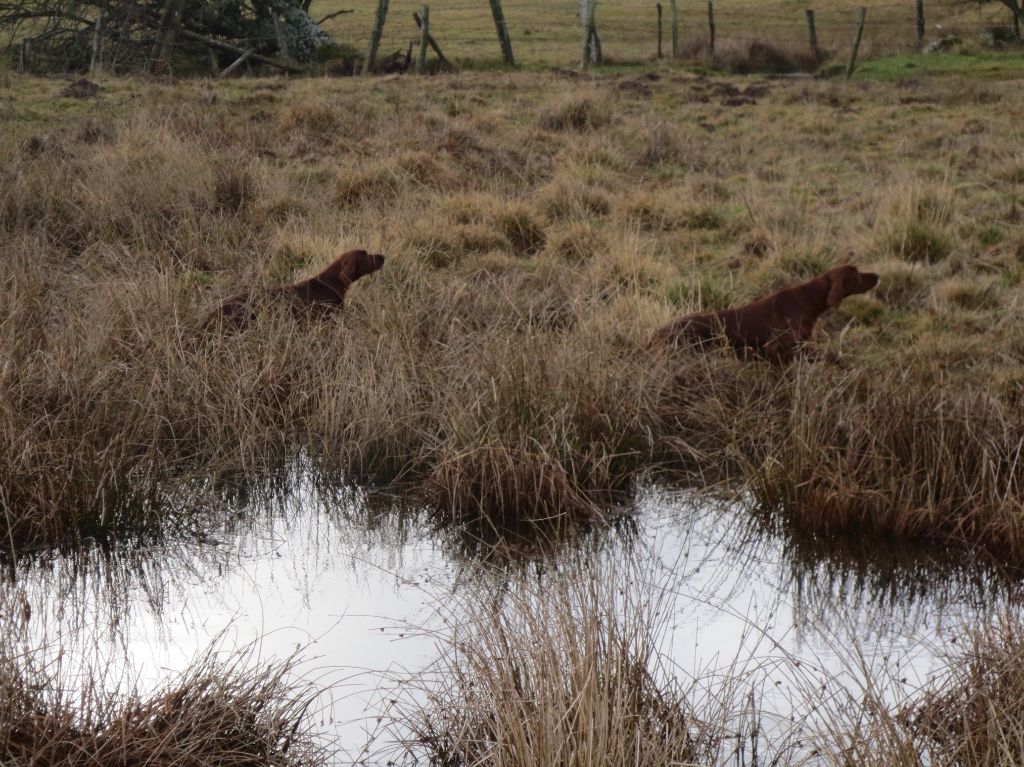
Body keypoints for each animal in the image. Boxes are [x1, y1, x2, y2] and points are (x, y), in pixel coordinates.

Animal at [655, 264, 880, 362]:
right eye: (856, 272)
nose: (877, 276)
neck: (809, 299)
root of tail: (656, 334)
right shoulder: (776, 347)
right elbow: (827, 355)